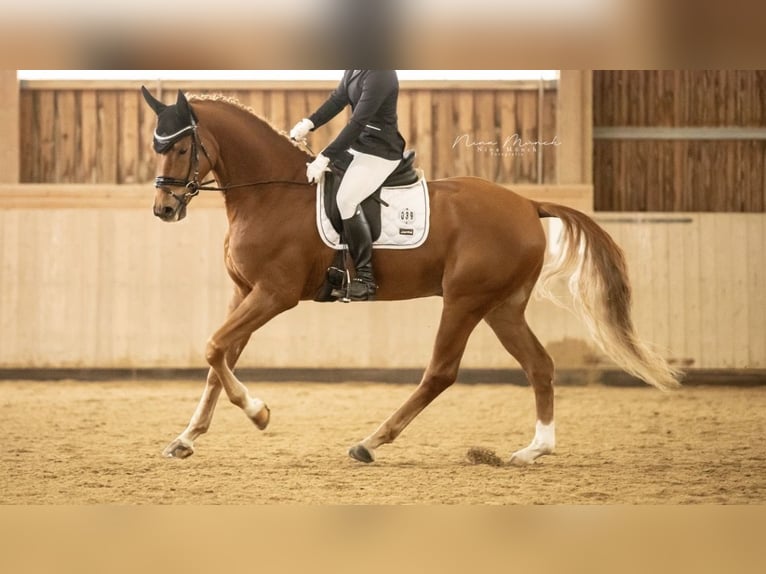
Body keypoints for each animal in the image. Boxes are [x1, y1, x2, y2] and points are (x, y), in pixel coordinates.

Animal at [141, 87, 681, 465]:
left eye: (182, 147)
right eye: (156, 146)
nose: (164, 209)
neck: (271, 193)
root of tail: (528, 203)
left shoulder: (274, 294)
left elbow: (213, 347)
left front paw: (259, 413)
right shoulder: (244, 293)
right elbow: (219, 358)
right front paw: (186, 439)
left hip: (464, 300)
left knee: (441, 372)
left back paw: (371, 442)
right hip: (501, 307)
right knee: (540, 365)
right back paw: (534, 450)